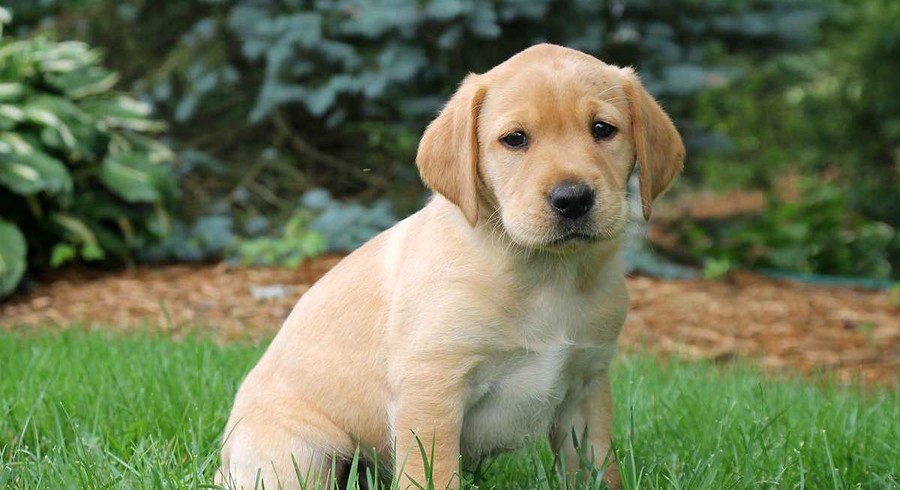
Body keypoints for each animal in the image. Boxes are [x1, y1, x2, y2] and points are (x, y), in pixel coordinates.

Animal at [218, 43, 684, 490]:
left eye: (603, 129)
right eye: (515, 139)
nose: (572, 198)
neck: (545, 273)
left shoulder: (587, 386)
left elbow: (598, 467)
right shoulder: (433, 388)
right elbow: (434, 473)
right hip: (301, 454)